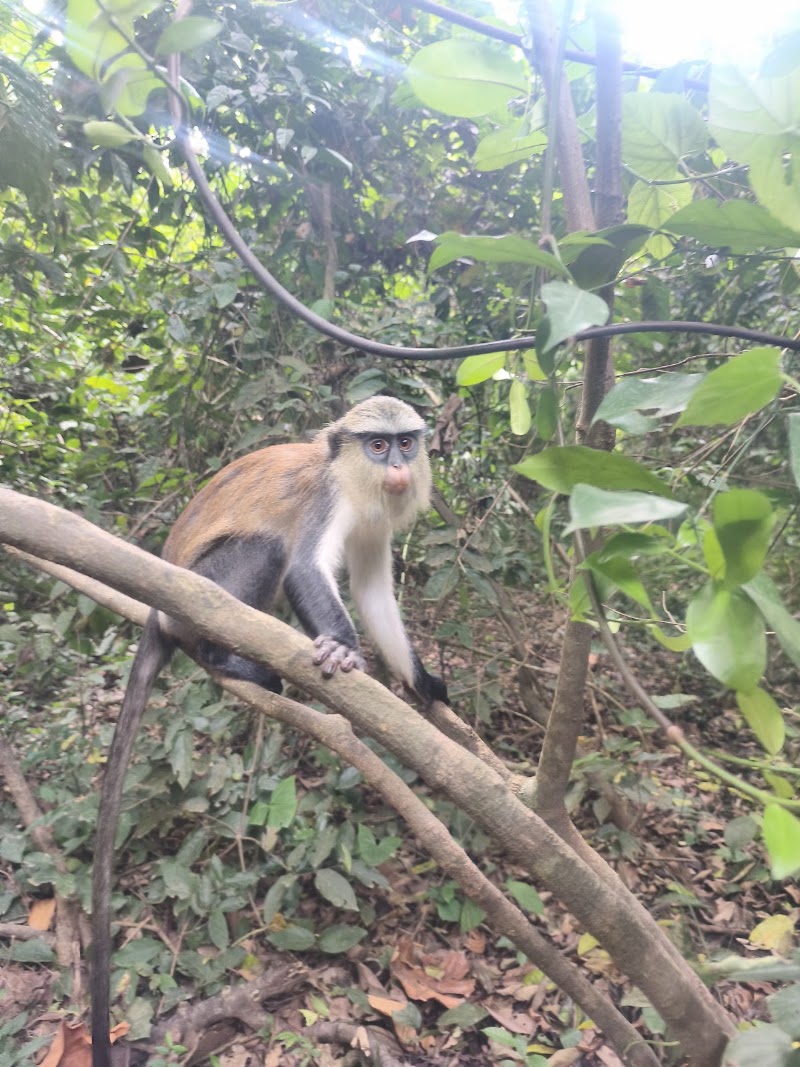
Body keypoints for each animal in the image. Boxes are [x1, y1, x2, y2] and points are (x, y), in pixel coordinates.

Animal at [91, 396, 447, 1067]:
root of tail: (157, 611)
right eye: (377, 445)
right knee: (264, 553)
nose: (396, 468)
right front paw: (343, 649)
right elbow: (305, 567)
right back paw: (222, 656)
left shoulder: (375, 522)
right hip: (201, 588)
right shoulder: (326, 499)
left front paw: (425, 683)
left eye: (406, 443)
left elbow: (373, 592)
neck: (355, 478)